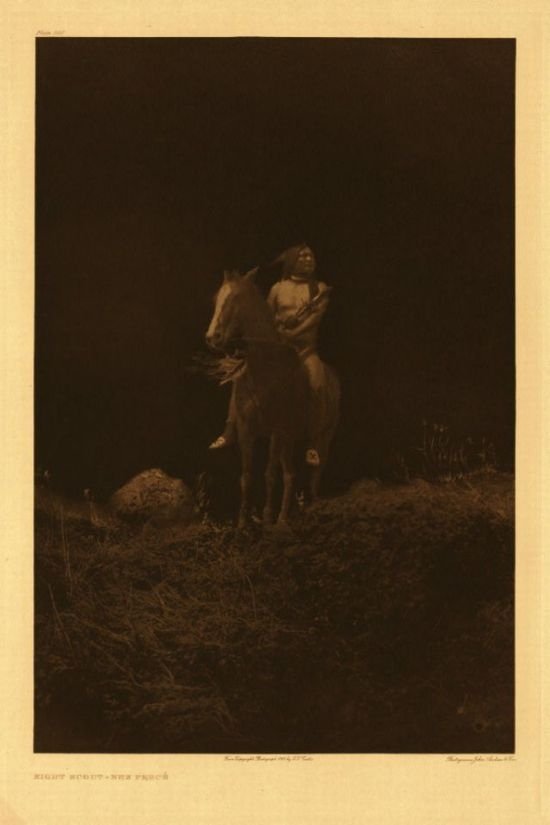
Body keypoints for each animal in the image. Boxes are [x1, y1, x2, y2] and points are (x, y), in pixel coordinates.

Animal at [206, 270, 340, 528]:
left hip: (322, 437)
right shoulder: (247, 431)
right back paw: (284, 517)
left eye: (235, 298)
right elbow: (247, 476)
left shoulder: (277, 431)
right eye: (216, 298)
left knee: (315, 472)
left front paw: (267, 516)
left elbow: (269, 474)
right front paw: (242, 522)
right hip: (289, 441)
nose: (212, 337)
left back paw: (309, 509)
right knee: (290, 474)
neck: (265, 369)